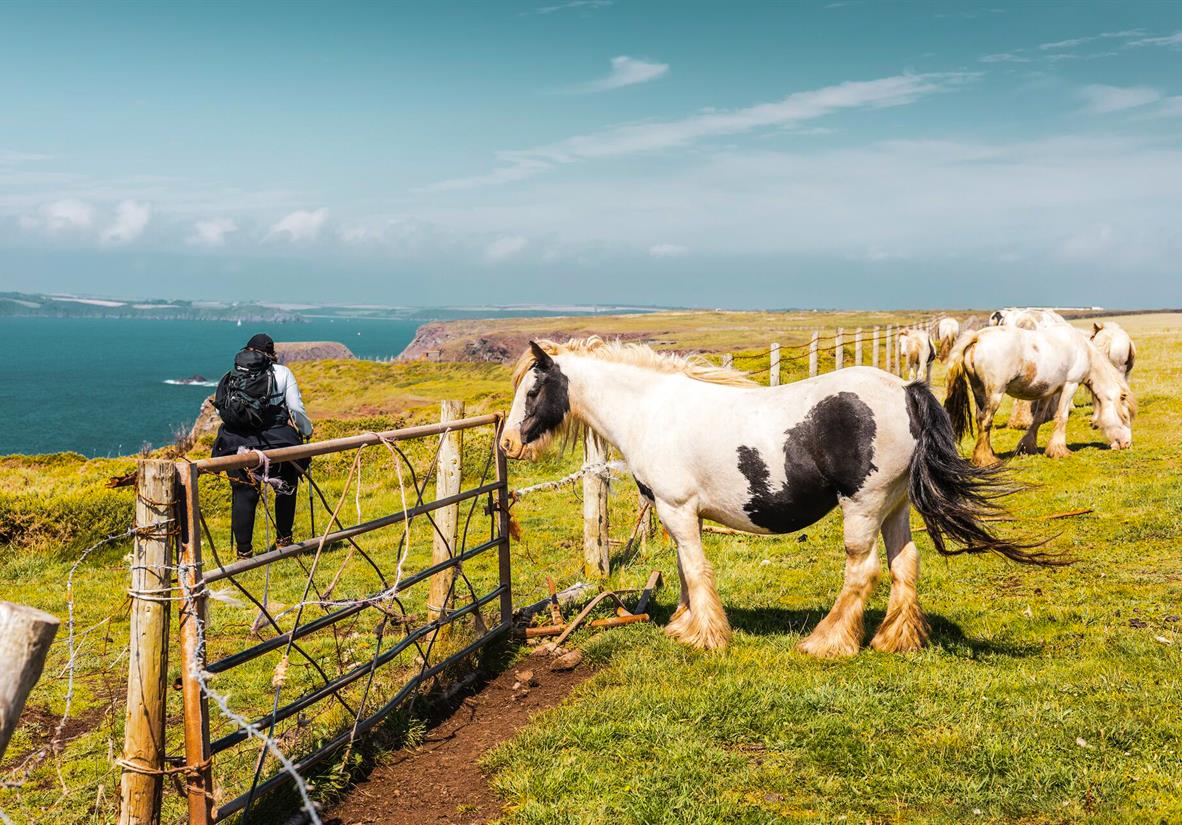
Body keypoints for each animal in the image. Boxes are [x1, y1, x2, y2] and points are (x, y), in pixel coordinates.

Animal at [501, 337, 1058, 656]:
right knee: (906, 564)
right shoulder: (681, 513)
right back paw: (893, 640)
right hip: (895, 505)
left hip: (863, 507)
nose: (506, 445)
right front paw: (684, 625)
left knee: (863, 569)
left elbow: (696, 569)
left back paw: (827, 642)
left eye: (532, 391)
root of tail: (905, 391)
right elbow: (683, 569)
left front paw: (706, 636)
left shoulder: (676, 508)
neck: (652, 409)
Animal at [944, 325, 1134, 467]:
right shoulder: (1070, 385)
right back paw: (986, 459)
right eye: (1125, 417)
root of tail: (978, 337)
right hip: (995, 393)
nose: (1126, 444)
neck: (1083, 350)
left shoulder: (1048, 393)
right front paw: (1059, 450)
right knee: (985, 421)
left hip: (979, 392)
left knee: (981, 421)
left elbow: (1038, 419)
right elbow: (1062, 417)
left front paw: (1027, 446)